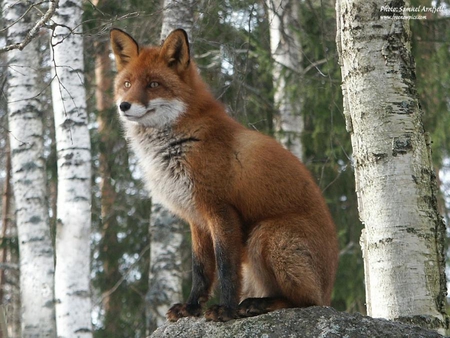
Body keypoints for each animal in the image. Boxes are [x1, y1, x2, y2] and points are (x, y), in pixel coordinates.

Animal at [110, 27, 340, 320]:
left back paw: (259, 304)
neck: (179, 144)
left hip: (266, 234)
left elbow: (226, 268)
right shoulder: (196, 218)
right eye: (127, 84)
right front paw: (192, 307)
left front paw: (226, 309)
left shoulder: (220, 209)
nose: (124, 106)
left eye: (153, 84)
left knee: (307, 301)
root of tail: (329, 292)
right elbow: (201, 269)